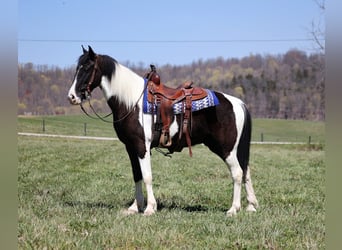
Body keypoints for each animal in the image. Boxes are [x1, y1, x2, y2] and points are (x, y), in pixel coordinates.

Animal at [68, 46, 258, 216]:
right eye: (77, 68)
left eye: (87, 67)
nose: (71, 96)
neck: (131, 102)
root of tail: (238, 103)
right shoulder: (130, 147)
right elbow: (137, 175)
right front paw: (135, 207)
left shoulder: (142, 146)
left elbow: (147, 176)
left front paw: (150, 208)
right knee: (245, 171)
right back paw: (251, 205)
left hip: (226, 149)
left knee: (237, 173)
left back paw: (233, 209)